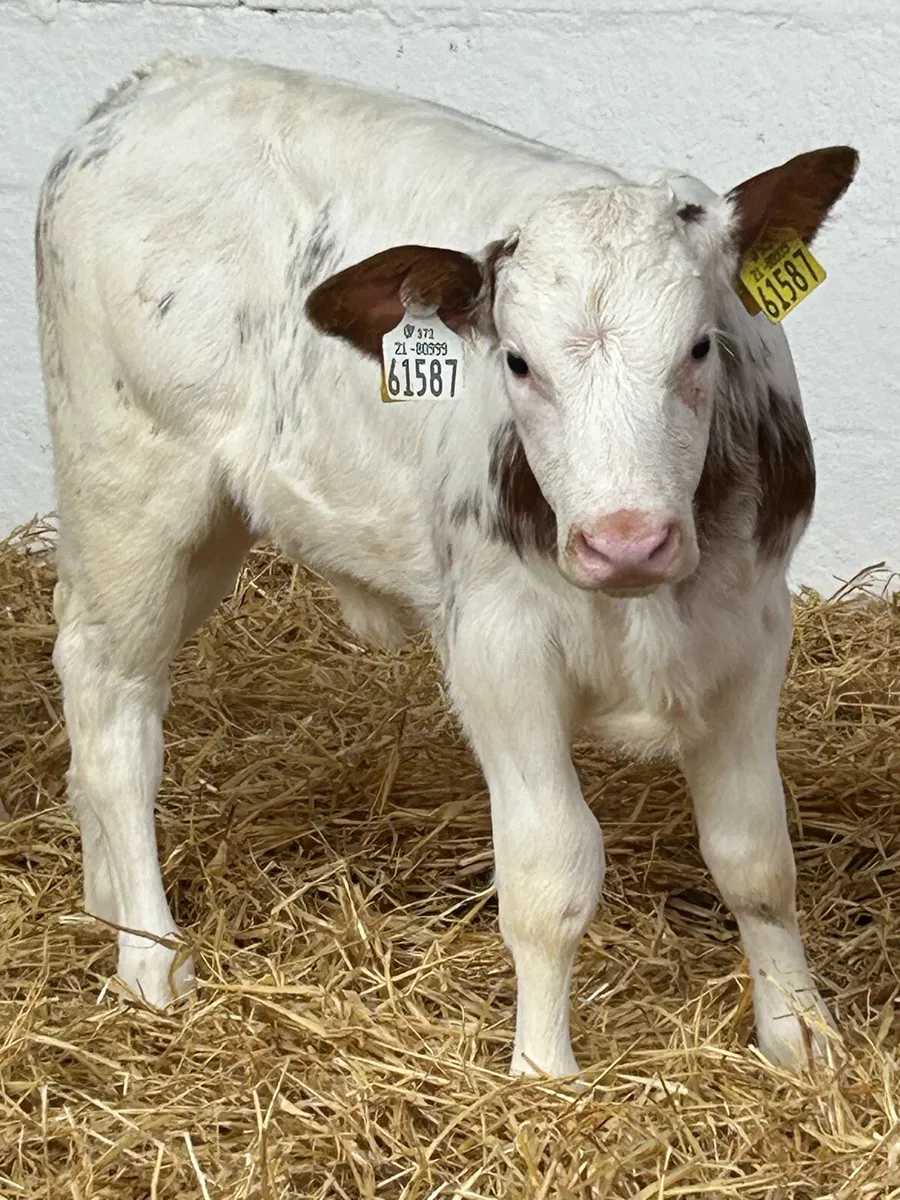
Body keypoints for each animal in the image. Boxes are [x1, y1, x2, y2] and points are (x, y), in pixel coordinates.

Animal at [35, 55, 858, 1078]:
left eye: (701, 345)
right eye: (518, 362)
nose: (625, 540)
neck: (647, 607)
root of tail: (158, 79)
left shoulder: (751, 631)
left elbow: (756, 856)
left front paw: (802, 1035)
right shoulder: (496, 649)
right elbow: (551, 873)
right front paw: (544, 1073)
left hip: (205, 523)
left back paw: (104, 902)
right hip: (130, 488)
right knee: (113, 708)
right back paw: (149, 957)